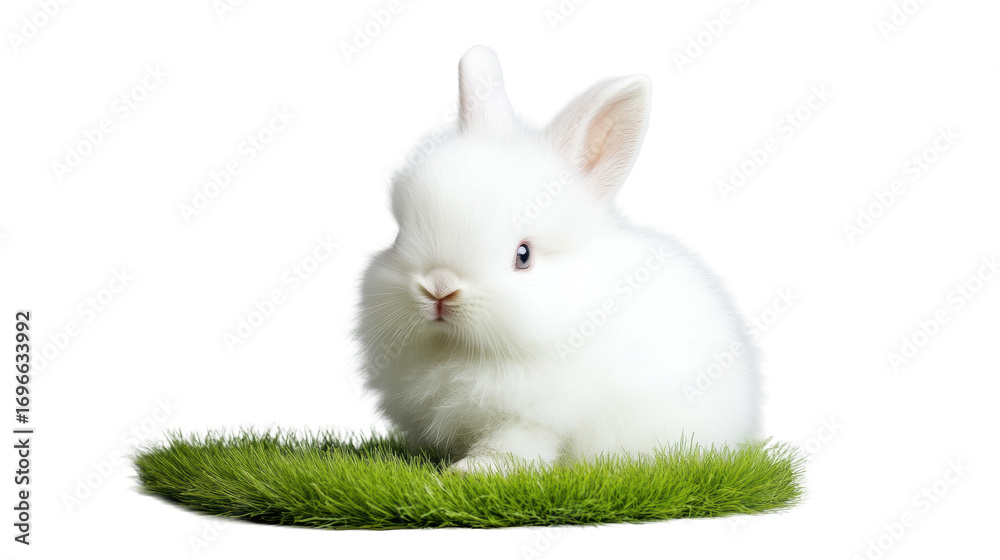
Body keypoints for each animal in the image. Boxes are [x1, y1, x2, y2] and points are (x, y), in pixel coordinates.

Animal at [355, 46, 762, 472]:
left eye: (524, 255)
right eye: (400, 234)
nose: (439, 289)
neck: (459, 350)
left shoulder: (530, 420)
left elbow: (513, 445)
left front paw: (470, 472)